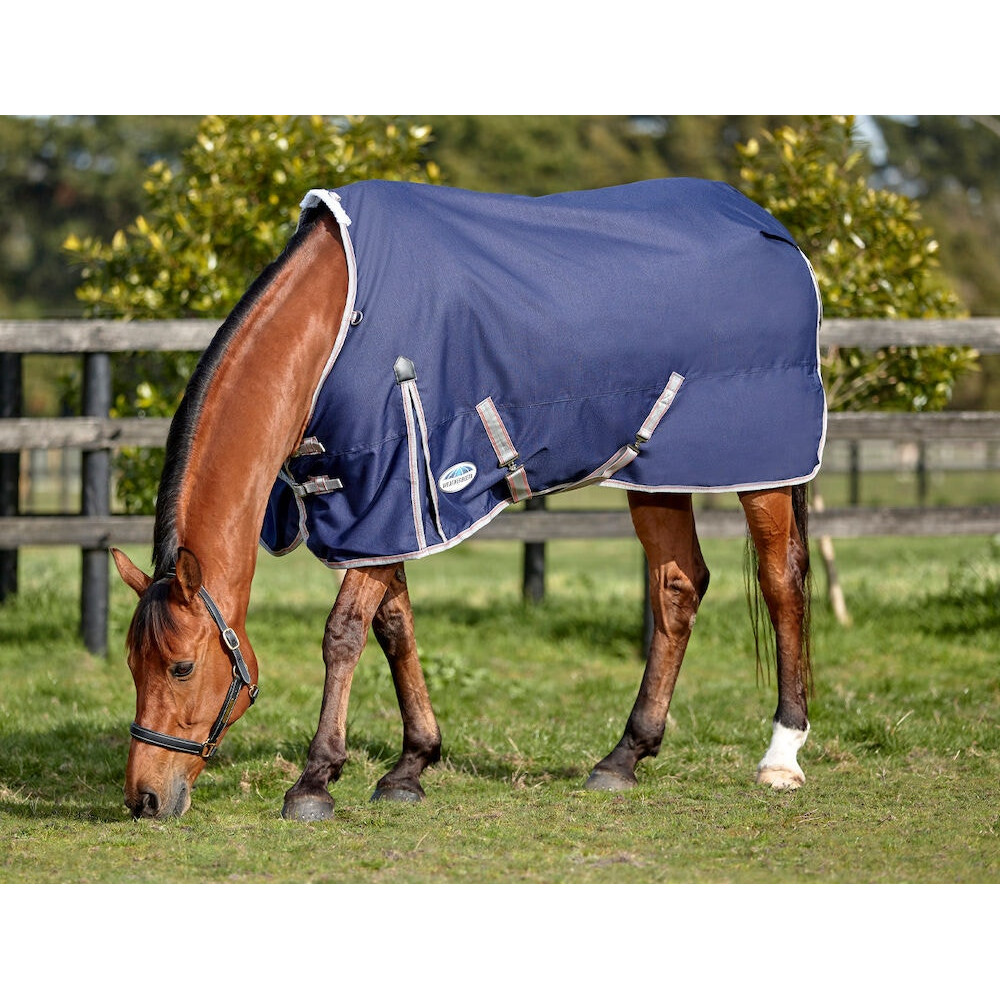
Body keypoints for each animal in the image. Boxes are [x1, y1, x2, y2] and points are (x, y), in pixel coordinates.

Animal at [111, 178, 824, 821]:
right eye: (130, 665)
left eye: (181, 667)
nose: (144, 800)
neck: (331, 326)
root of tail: (771, 229)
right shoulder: (381, 506)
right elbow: (393, 626)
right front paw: (411, 765)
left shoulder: (391, 492)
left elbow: (343, 634)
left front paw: (315, 781)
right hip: (654, 476)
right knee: (678, 587)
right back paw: (623, 757)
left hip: (762, 467)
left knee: (781, 580)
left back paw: (781, 756)